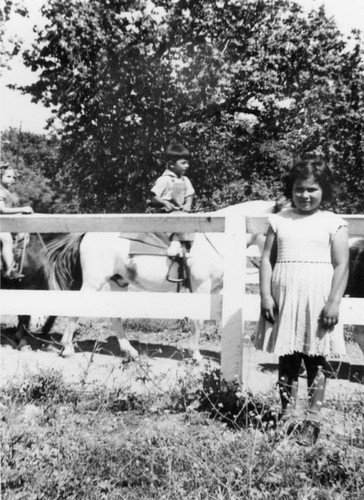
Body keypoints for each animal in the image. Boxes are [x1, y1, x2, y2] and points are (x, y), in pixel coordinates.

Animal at [44, 201, 278, 362]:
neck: (222, 237)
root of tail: (88, 233)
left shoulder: (216, 291)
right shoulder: (201, 288)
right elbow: (199, 320)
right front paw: (196, 355)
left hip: (118, 283)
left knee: (115, 316)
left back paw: (130, 351)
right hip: (93, 283)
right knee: (77, 309)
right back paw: (68, 348)